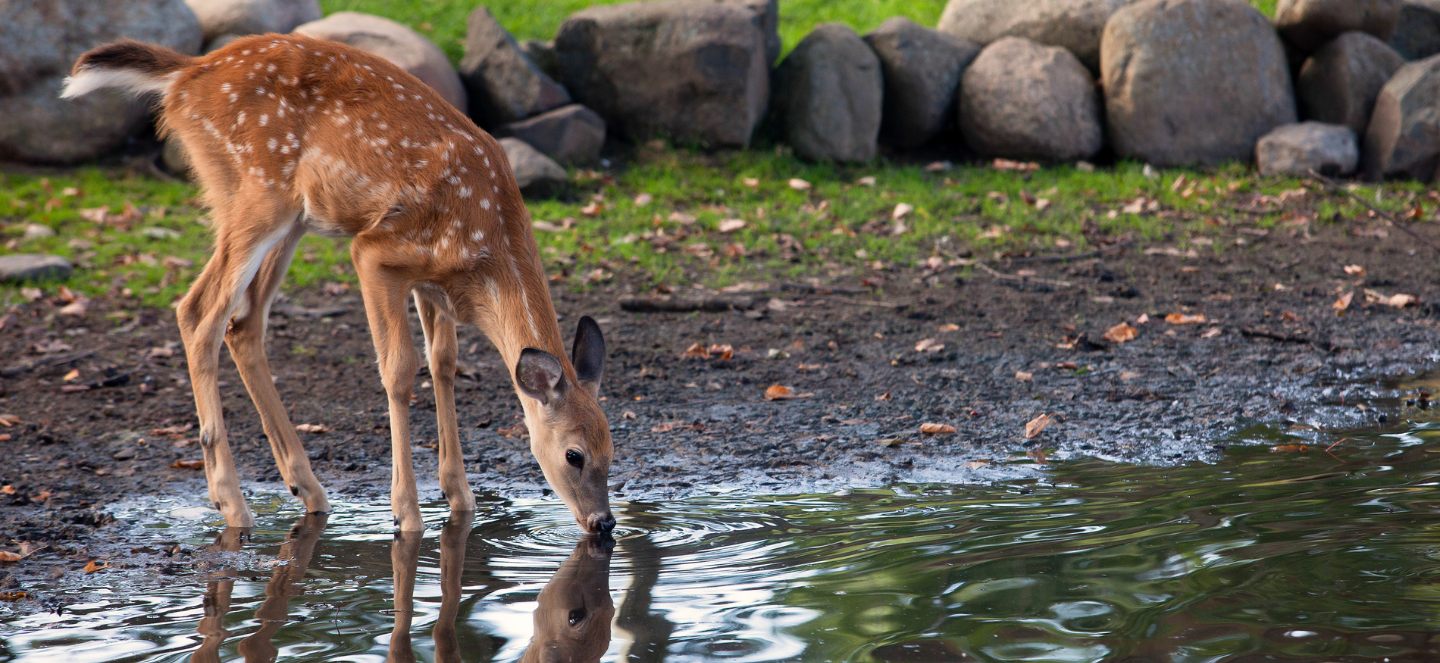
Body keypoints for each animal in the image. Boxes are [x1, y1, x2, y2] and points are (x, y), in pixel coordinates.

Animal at [61, 34, 616, 535]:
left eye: (612, 447)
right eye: (574, 455)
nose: (604, 523)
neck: (487, 249)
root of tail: (187, 73)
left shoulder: (432, 284)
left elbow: (444, 363)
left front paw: (460, 499)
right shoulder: (377, 252)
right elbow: (399, 369)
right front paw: (406, 515)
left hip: (290, 218)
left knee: (245, 323)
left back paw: (306, 489)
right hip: (256, 191)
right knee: (199, 312)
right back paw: (232, 505)